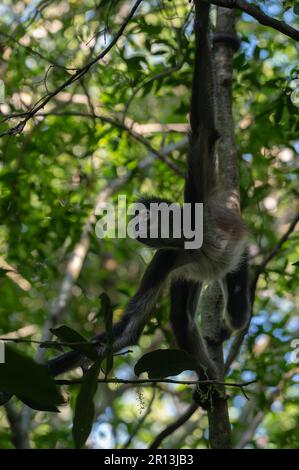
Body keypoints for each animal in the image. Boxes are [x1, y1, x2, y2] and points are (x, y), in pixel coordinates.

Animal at [49, 0, 251, 382]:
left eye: (147, 218)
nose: (136, 228)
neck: (190, 240)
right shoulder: (167, 258)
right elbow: (128, 329)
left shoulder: (194, 202)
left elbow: (204, 129)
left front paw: (201, 16)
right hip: (187, 273)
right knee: (182, 318)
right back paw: (208, 384)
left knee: (237, 303)